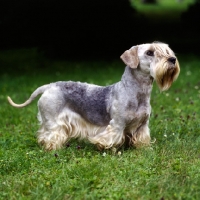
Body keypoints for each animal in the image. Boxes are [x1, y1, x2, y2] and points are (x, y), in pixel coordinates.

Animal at [7, 42, 180, 152]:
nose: (173, 59)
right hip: (53, 121)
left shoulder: (142, 126)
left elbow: (142, 139)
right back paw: (52, 148)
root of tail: (49, 86)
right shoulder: (117, 125)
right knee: (49, 136)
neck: (137, 92)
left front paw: (145, 149)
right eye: (150, 52)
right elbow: (109, 138)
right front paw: (104, 147)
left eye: (167, 50)